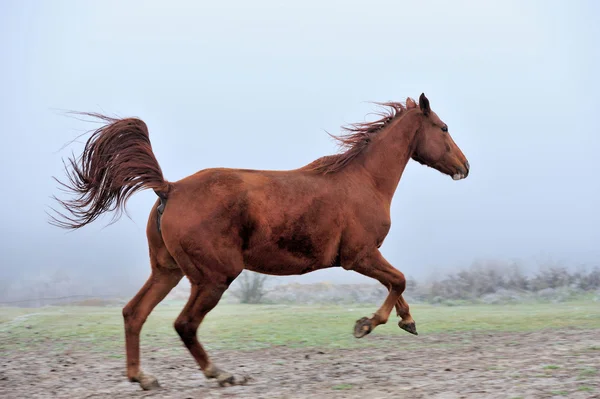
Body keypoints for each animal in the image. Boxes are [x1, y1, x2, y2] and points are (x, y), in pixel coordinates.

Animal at [50, 94, 468, 390]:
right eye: (444, 127)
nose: (465, 167)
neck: (362, 181)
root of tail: (170, 188)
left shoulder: (366, 256)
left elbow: (398, 284)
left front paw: (407, 320)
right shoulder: (359, 256)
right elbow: (398, 280)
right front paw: (367, 325)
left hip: (167, 271)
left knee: (134, 313)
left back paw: (144, 378)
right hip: (213, 277)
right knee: (185, 324)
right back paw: (221, 374)